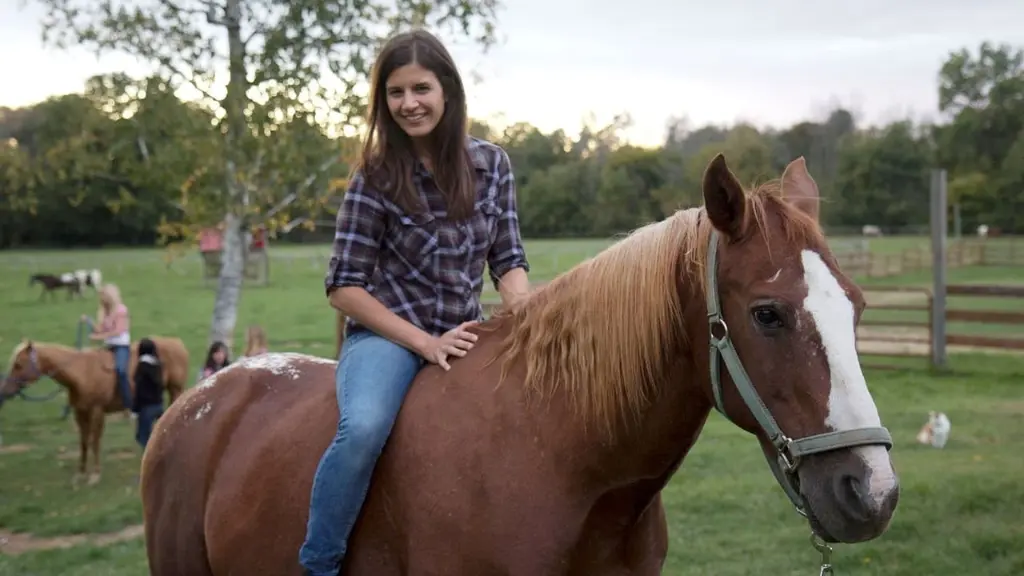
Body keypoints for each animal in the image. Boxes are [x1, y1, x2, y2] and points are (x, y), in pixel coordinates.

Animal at [0, 334, 190, 481]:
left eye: (18, 364)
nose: (4, 391)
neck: (82, 373)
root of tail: (177, 343)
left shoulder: (97, 411)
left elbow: (94, 441)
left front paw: (95, 474)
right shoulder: (80, 412)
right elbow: (84, 442)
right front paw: (81, 472)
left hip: (176, 390)